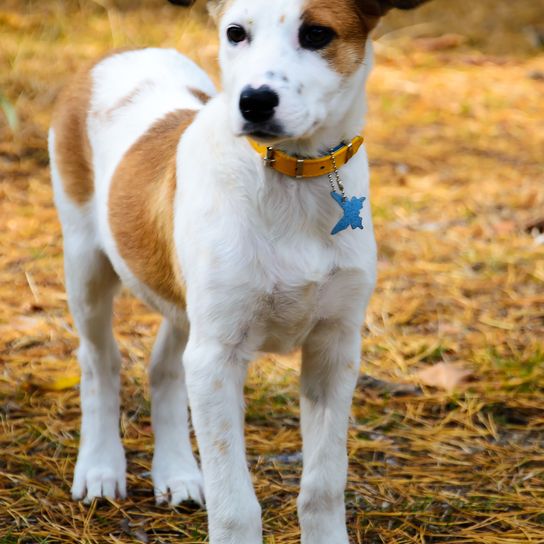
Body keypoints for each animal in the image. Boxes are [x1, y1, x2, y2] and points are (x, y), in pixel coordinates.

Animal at [46, 1, 430, 544]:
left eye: (318, 34)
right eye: (235, 32)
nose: (254, 102)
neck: (292, 180)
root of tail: (121, 52)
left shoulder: (333, 350)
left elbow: (324, 483)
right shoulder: (217, 357)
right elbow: (234, 506)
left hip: (183, 299)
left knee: (164, 366)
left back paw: (177, 472)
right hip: (86, 265)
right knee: (100, 361)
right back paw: (100, 467)